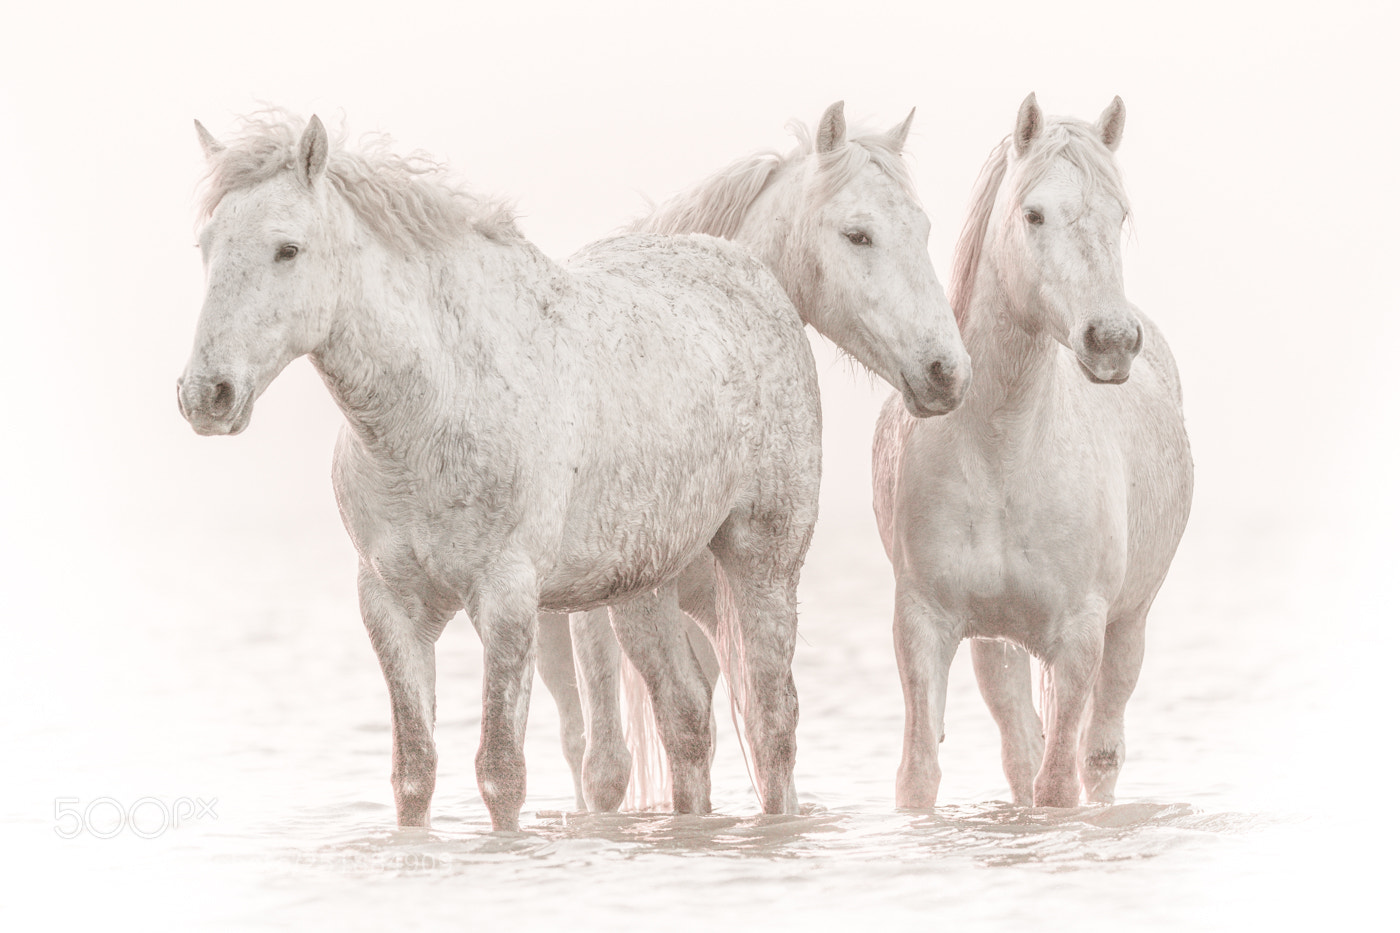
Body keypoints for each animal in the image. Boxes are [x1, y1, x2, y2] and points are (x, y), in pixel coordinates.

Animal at [177, 110, 827, 830]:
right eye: (206, 245)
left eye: (286, 249)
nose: (206, 395)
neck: (435, 407)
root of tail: (754, 279)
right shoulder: (389, 602)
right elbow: (414, 772)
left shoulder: (507, 597)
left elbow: (500, 771)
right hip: (644, 585)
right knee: (685, 719)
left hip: (762, 561)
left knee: (772, 721)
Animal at [536, 102, 970, 813]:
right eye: (857, 235)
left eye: (923, 229)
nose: (947, 372)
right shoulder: (608, 611)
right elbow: (616, 759)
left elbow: (756, 727)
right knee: (587, 745)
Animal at [872, 95, 1193, 809]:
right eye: (1033, 214)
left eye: (1119, 214)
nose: (1111, 341)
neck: (1003, 451)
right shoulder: (923, 624)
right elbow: (919, 775)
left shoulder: (1080, 636)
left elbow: (1059, 785)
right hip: (997, 644)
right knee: (1020, 749)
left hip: (1128, 628)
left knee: (1099, 755)